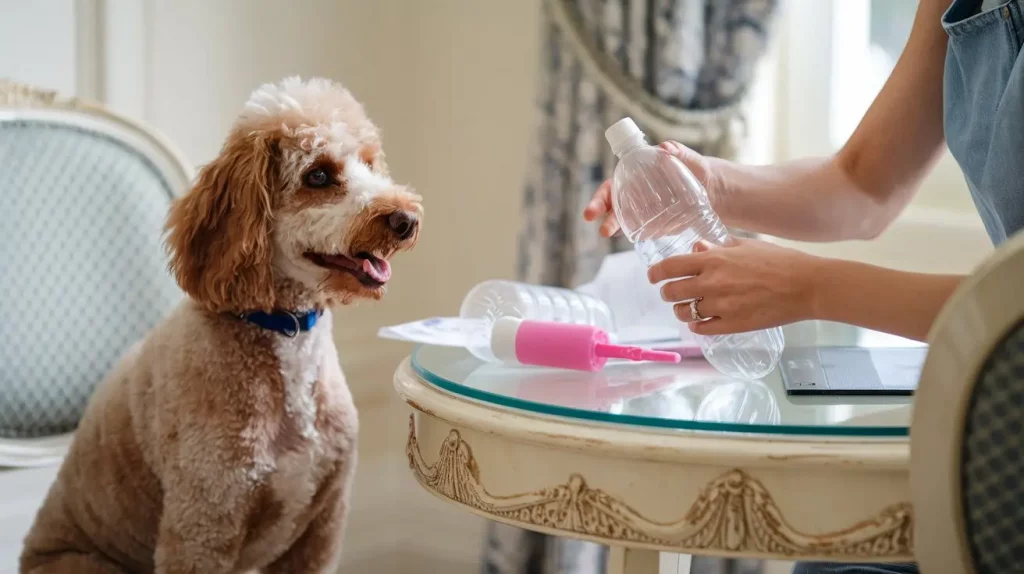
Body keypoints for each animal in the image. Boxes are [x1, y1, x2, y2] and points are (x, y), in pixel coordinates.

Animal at [19, 77, 421, 572]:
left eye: (368, 162)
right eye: (318, 175)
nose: (405, 219)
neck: (282, 330)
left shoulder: (323, 526)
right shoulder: (204, 523)